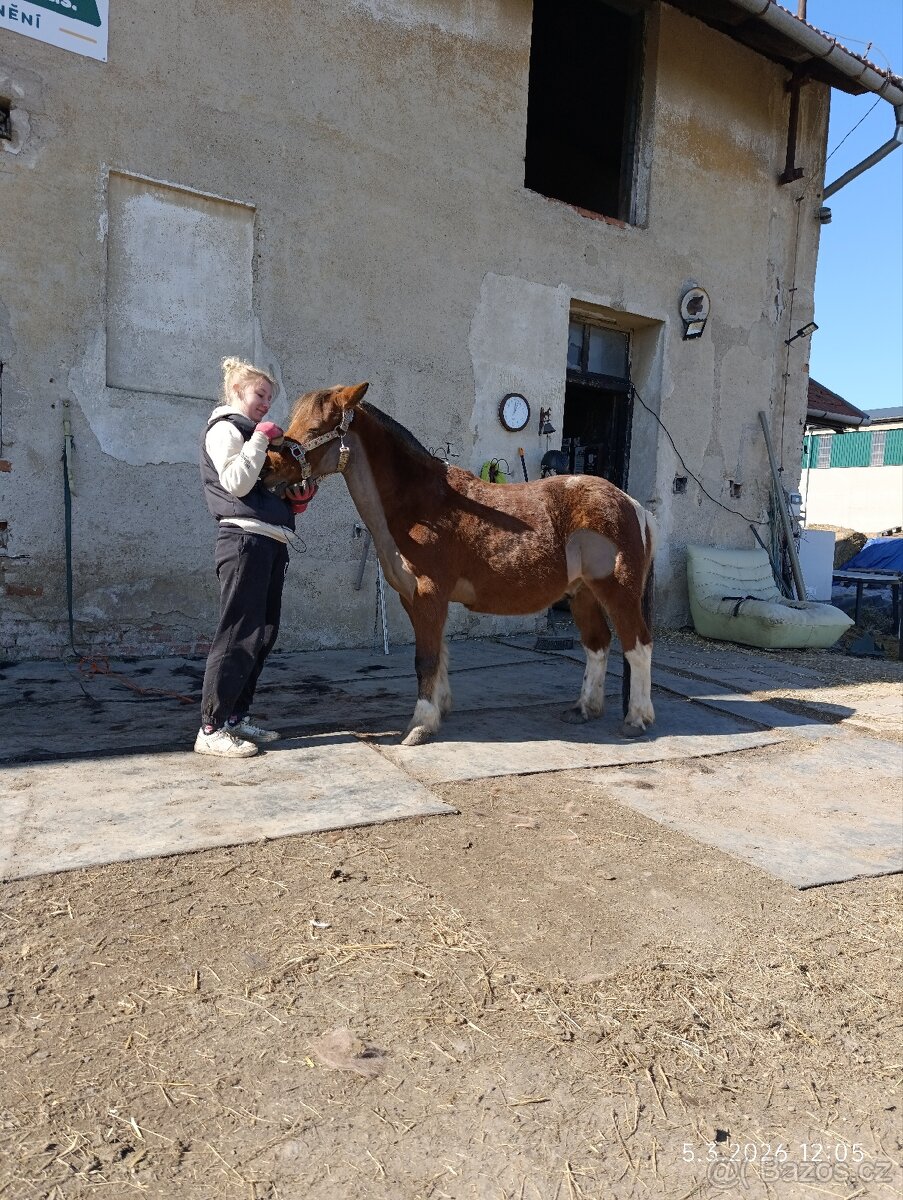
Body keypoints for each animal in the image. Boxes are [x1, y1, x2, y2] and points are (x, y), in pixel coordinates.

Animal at [263, 383, 656, 747]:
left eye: (316, 427)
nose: (269, 468)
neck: (419, 502)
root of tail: (633, 504)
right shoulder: (414, 597)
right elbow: (438, 655)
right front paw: (439, 710)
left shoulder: (428, 594)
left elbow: (425, 659)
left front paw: (419, 725)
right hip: (583, 593)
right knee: (597, 644)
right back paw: (584, 709)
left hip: (617, 591)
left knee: (638, 645)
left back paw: (636, 719)